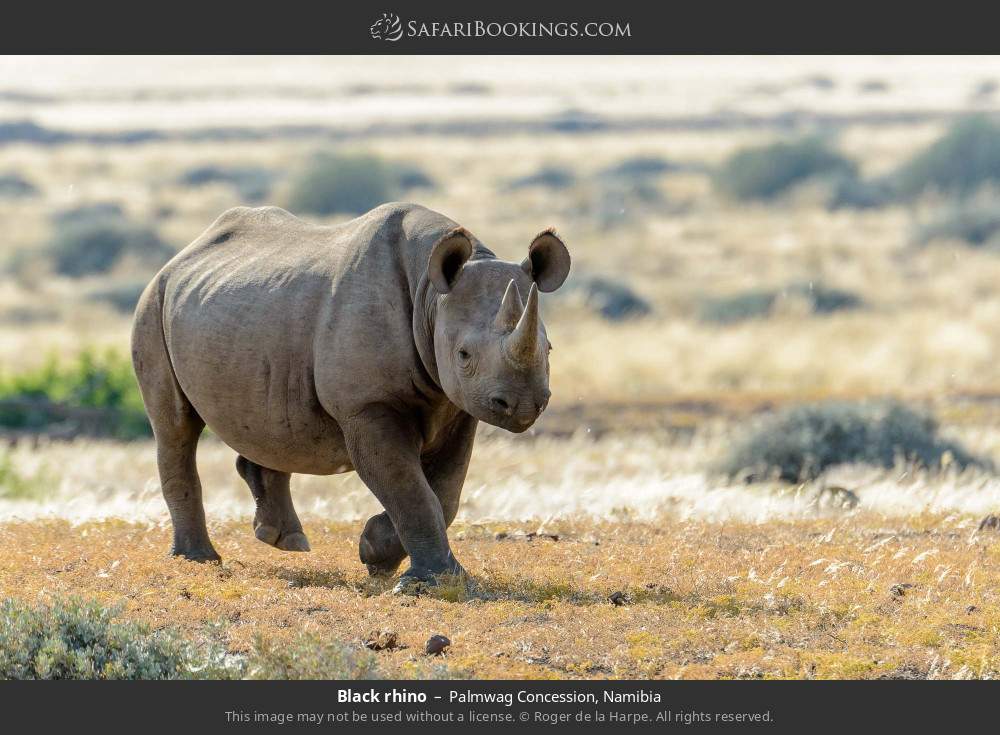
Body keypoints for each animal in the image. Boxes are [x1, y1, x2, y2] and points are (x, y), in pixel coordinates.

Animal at [131, 202, 570, 589]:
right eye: (463, 355)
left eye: (549, 349)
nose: (522, 405)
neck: (431, 297)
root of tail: (180, 256)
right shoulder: (367, 405)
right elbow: (410, 488)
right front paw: (426, 580)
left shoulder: (459, 406)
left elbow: (445, 492)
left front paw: (376, 554)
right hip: (152, 303)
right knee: (175, 428)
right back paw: (198, 560)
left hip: (244, 316)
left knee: (265, 421)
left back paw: (284, 541)